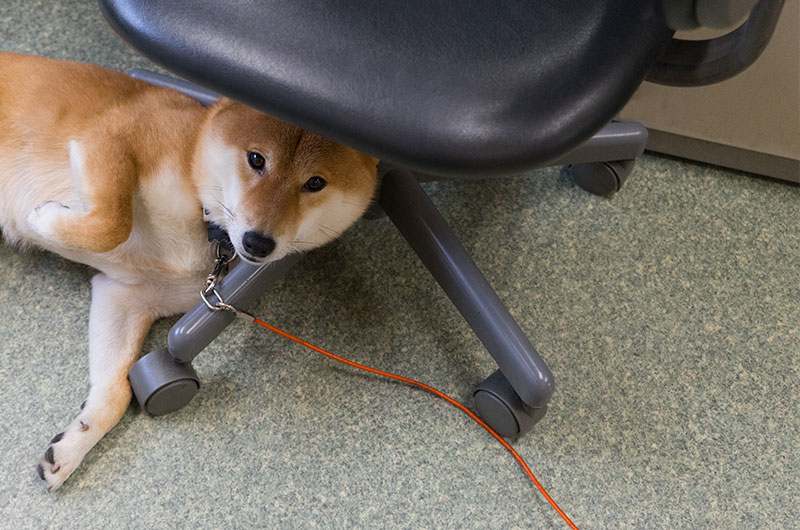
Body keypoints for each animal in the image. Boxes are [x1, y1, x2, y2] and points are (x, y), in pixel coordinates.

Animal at [0, 53, 380, 490]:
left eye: (315, 183)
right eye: (256, 159)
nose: (257, 243)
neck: (206, 223)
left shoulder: (126, 297)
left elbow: (114, 392)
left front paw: (73, 444)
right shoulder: (111, 137)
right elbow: (113, 223)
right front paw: (43, 219)